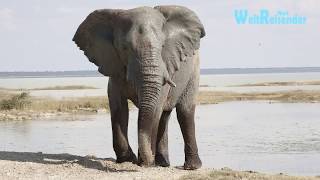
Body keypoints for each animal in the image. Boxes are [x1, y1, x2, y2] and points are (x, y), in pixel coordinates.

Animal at [73, 4, 205, 169]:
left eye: (163, 46)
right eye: (124, 48)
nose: (144, 160)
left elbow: (155, 108)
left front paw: (145, 163)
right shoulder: (115, 66)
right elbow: (118, 107)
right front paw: (128, 160)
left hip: (194, 71)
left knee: (184, 112)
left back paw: (190, 166)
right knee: (165, 116)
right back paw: (162, 163)